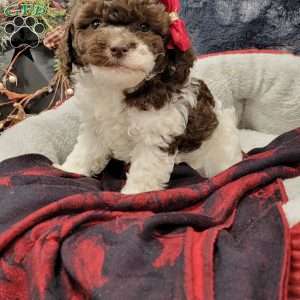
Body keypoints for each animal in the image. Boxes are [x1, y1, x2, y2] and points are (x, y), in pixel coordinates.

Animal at [57, 0, 243, 195]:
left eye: (144, 27)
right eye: (95, 23)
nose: (118, 47)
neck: (118, 87)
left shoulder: (157, 133)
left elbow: (146, 169)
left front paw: (135, 193)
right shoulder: (94, 125)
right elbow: (87, 149)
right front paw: (70, 169)